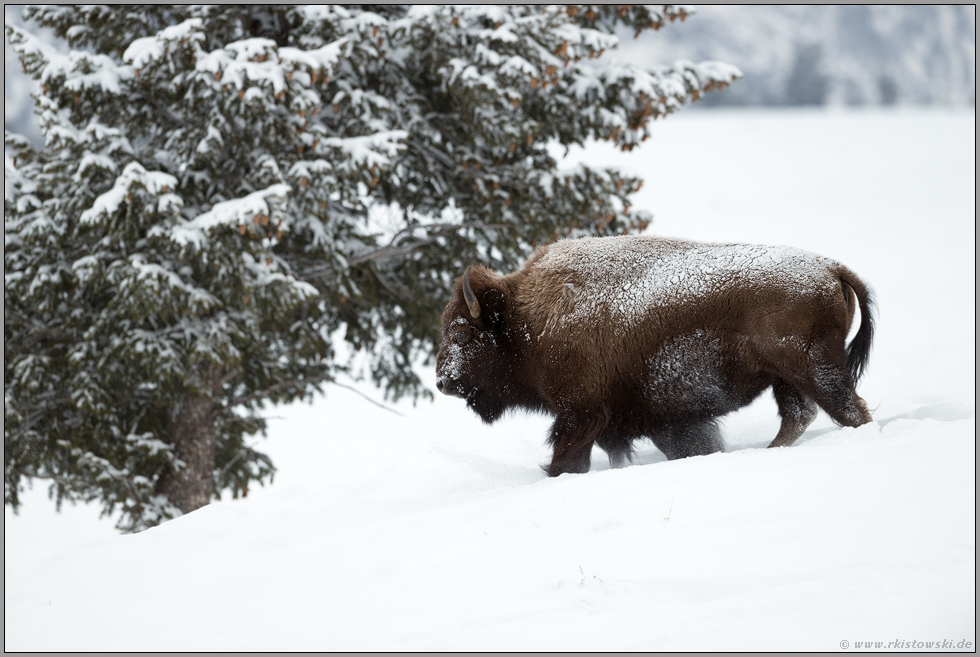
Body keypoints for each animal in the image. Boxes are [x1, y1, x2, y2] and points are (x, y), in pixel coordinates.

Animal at [436, 236, 872, 476]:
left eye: (461, 331)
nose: (442, 381)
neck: (524, 319)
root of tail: (832, 268)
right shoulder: (652, 421)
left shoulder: (581, 413)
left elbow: (566, 458)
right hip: (788, 378)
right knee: (800, 416)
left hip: (814, 371)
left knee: (849, 411)